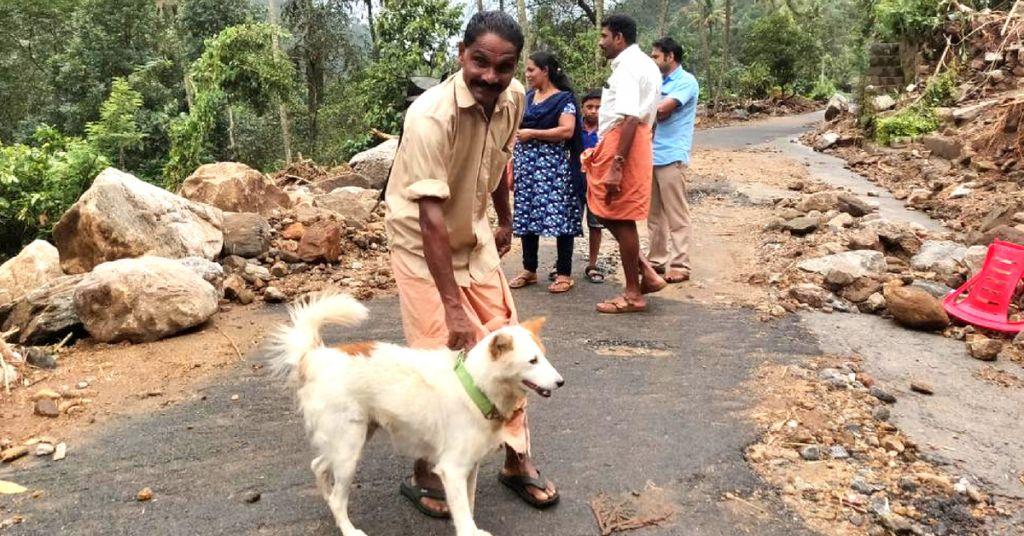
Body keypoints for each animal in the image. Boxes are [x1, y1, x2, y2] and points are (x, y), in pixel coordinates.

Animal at [268, 293, 565, 536]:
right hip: (348, 451)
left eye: (544, 356)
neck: (476, 386)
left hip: (351, 438)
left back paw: (327, 498)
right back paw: (348, 528)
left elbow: (468, 507)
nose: (561, 382)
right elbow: (463, 516)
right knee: (339, 498)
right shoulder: (452, 470)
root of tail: (315, 356)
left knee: (318, 466)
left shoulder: (470, 468)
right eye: (532, 361)